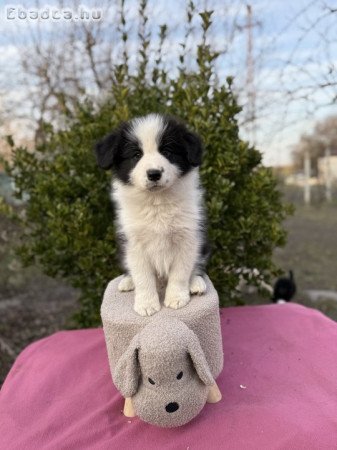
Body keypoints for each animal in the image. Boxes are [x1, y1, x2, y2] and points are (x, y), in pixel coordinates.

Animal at [94, 112, 209, 316]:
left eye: (168, 152)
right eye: (136, 155)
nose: (154, 174)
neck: (156, 203)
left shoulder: (188, 237)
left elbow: (180, 271)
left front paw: (176, 298)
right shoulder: (133, 243)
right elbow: (142, 276)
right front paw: (146, 304)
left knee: (197, 266)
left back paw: (196, 283)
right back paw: (127, 281)